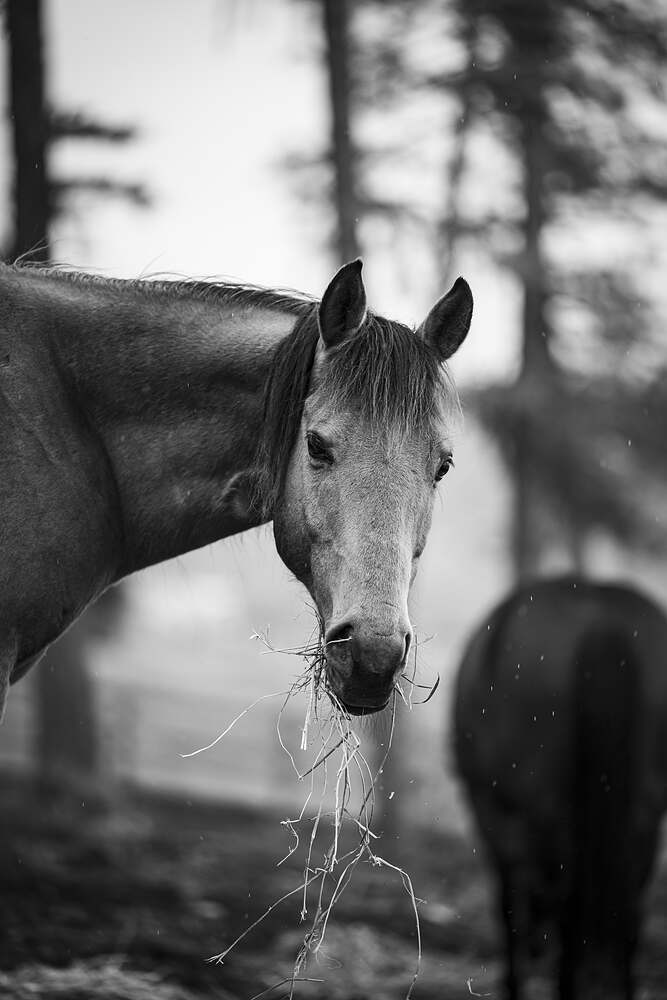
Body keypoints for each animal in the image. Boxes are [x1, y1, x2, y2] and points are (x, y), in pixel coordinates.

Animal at [453, 576, 667, 1000]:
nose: (539, 950)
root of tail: (601, 621)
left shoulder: (493, 812)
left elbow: (508, 904)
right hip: (644, 810)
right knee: (630, 899)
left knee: (567, 894)